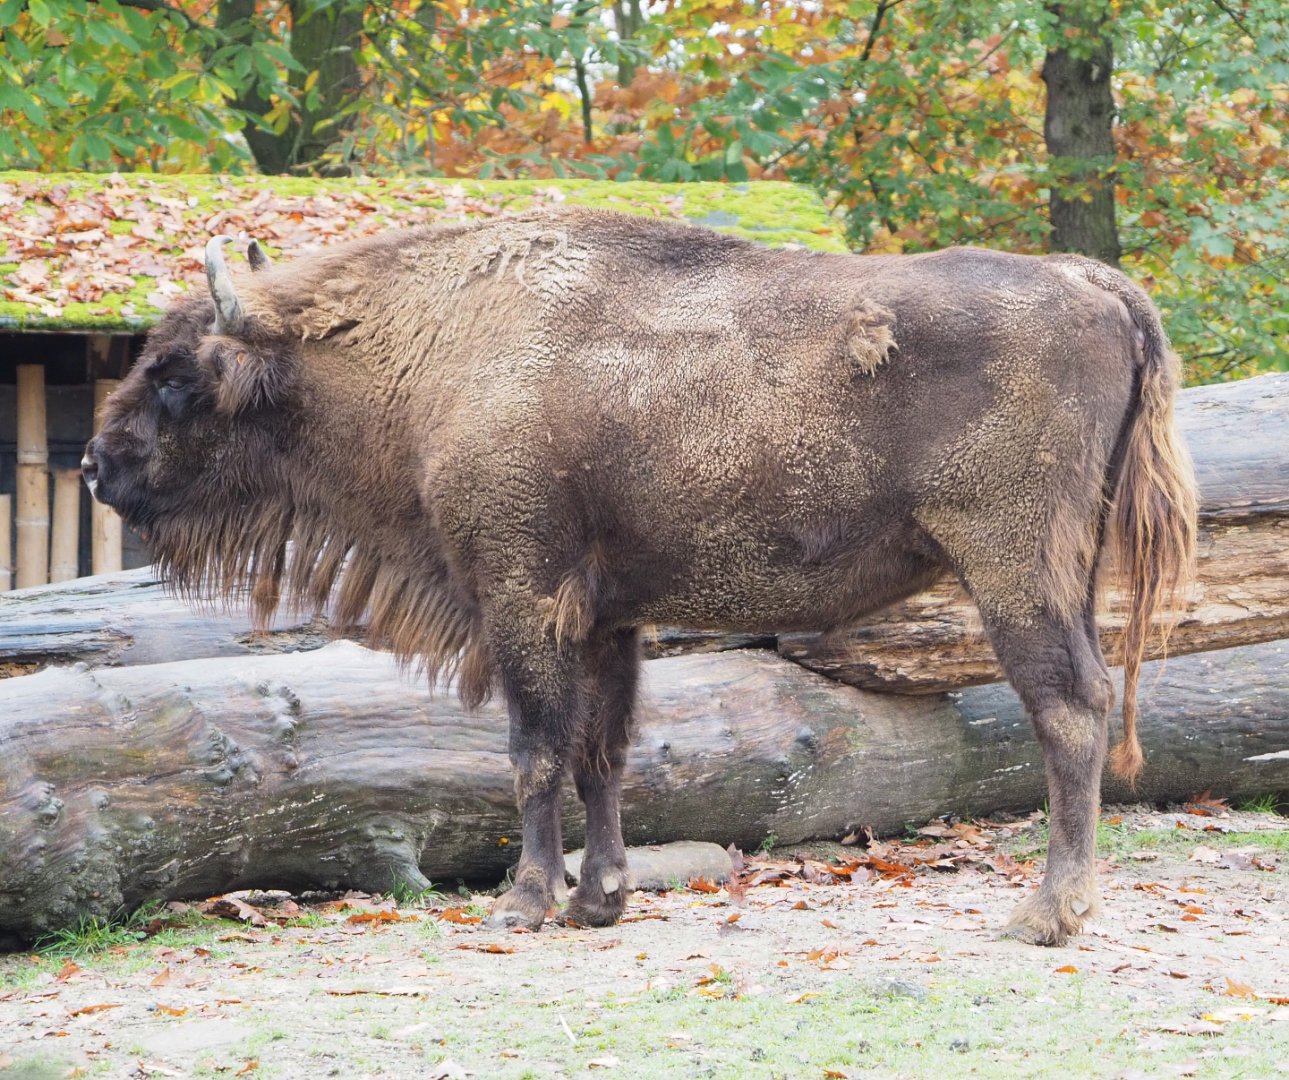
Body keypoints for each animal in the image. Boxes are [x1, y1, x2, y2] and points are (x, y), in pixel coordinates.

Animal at [84, 210, 1196, 944]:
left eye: (177, 374)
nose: (96, 465)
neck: (431, 349)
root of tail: (1092, 284)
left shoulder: (521, 598)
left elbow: (533, 750)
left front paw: (523, 902)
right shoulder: (606, 620)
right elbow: (600, 752)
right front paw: (598, 899)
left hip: (1011, 566)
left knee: (1069, 707)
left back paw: (1045, 913)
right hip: (1069, 569)